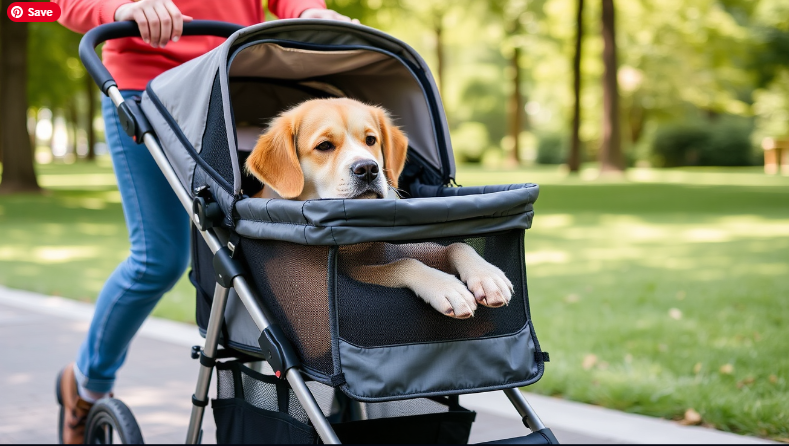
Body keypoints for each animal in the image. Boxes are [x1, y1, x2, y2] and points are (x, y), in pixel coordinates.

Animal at [246, 99, 510, 318]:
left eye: (371, 140)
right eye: (324, 145)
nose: (367, 168)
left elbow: (457, 245)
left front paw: (487, 275)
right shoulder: (350, 275)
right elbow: (405, 263)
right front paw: (446, 286)